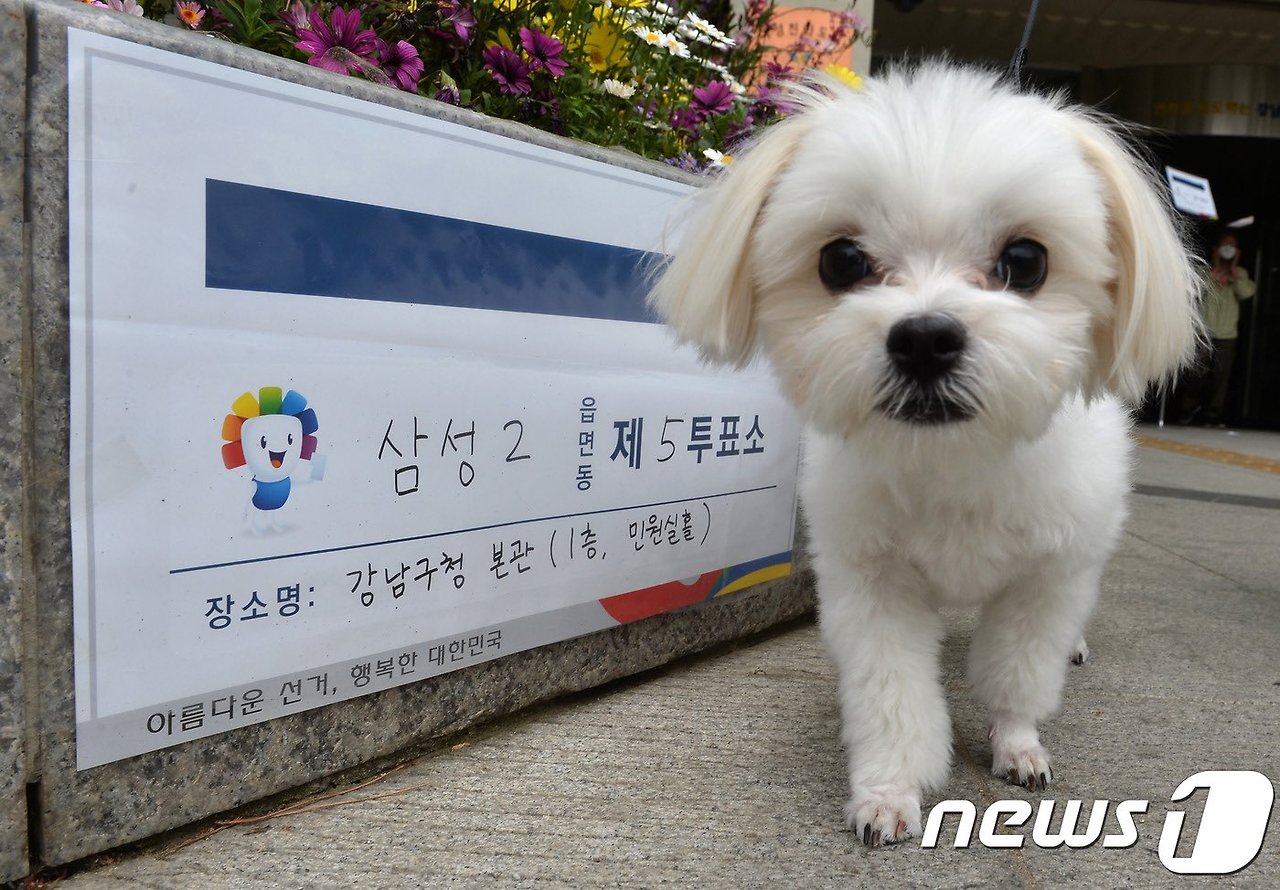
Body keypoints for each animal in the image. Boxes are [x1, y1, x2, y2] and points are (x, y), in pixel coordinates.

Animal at [648, 62, 1201, 846]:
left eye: (1025, 260)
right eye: (841, 260)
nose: (924, 339)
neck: (953, 461)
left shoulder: (1046, 577)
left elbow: (1018, 673)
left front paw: (1018, 744)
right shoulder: (875, 583)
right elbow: (893, 697)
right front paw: (888, 791)